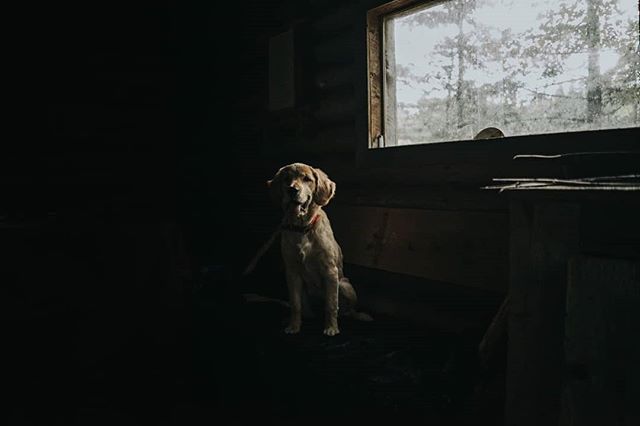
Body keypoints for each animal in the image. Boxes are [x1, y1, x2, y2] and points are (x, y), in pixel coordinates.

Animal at [268, 163, 372, 336]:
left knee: (348, 310)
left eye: (307, 179)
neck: (303, 229)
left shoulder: (330, 271)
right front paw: (294, 326)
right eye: (286, 179)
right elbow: (295, 304)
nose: (292, 190)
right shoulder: (292, 273)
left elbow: (331, 304)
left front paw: (331, 328)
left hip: (345, 285)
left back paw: (358, 316)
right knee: (306, 310)